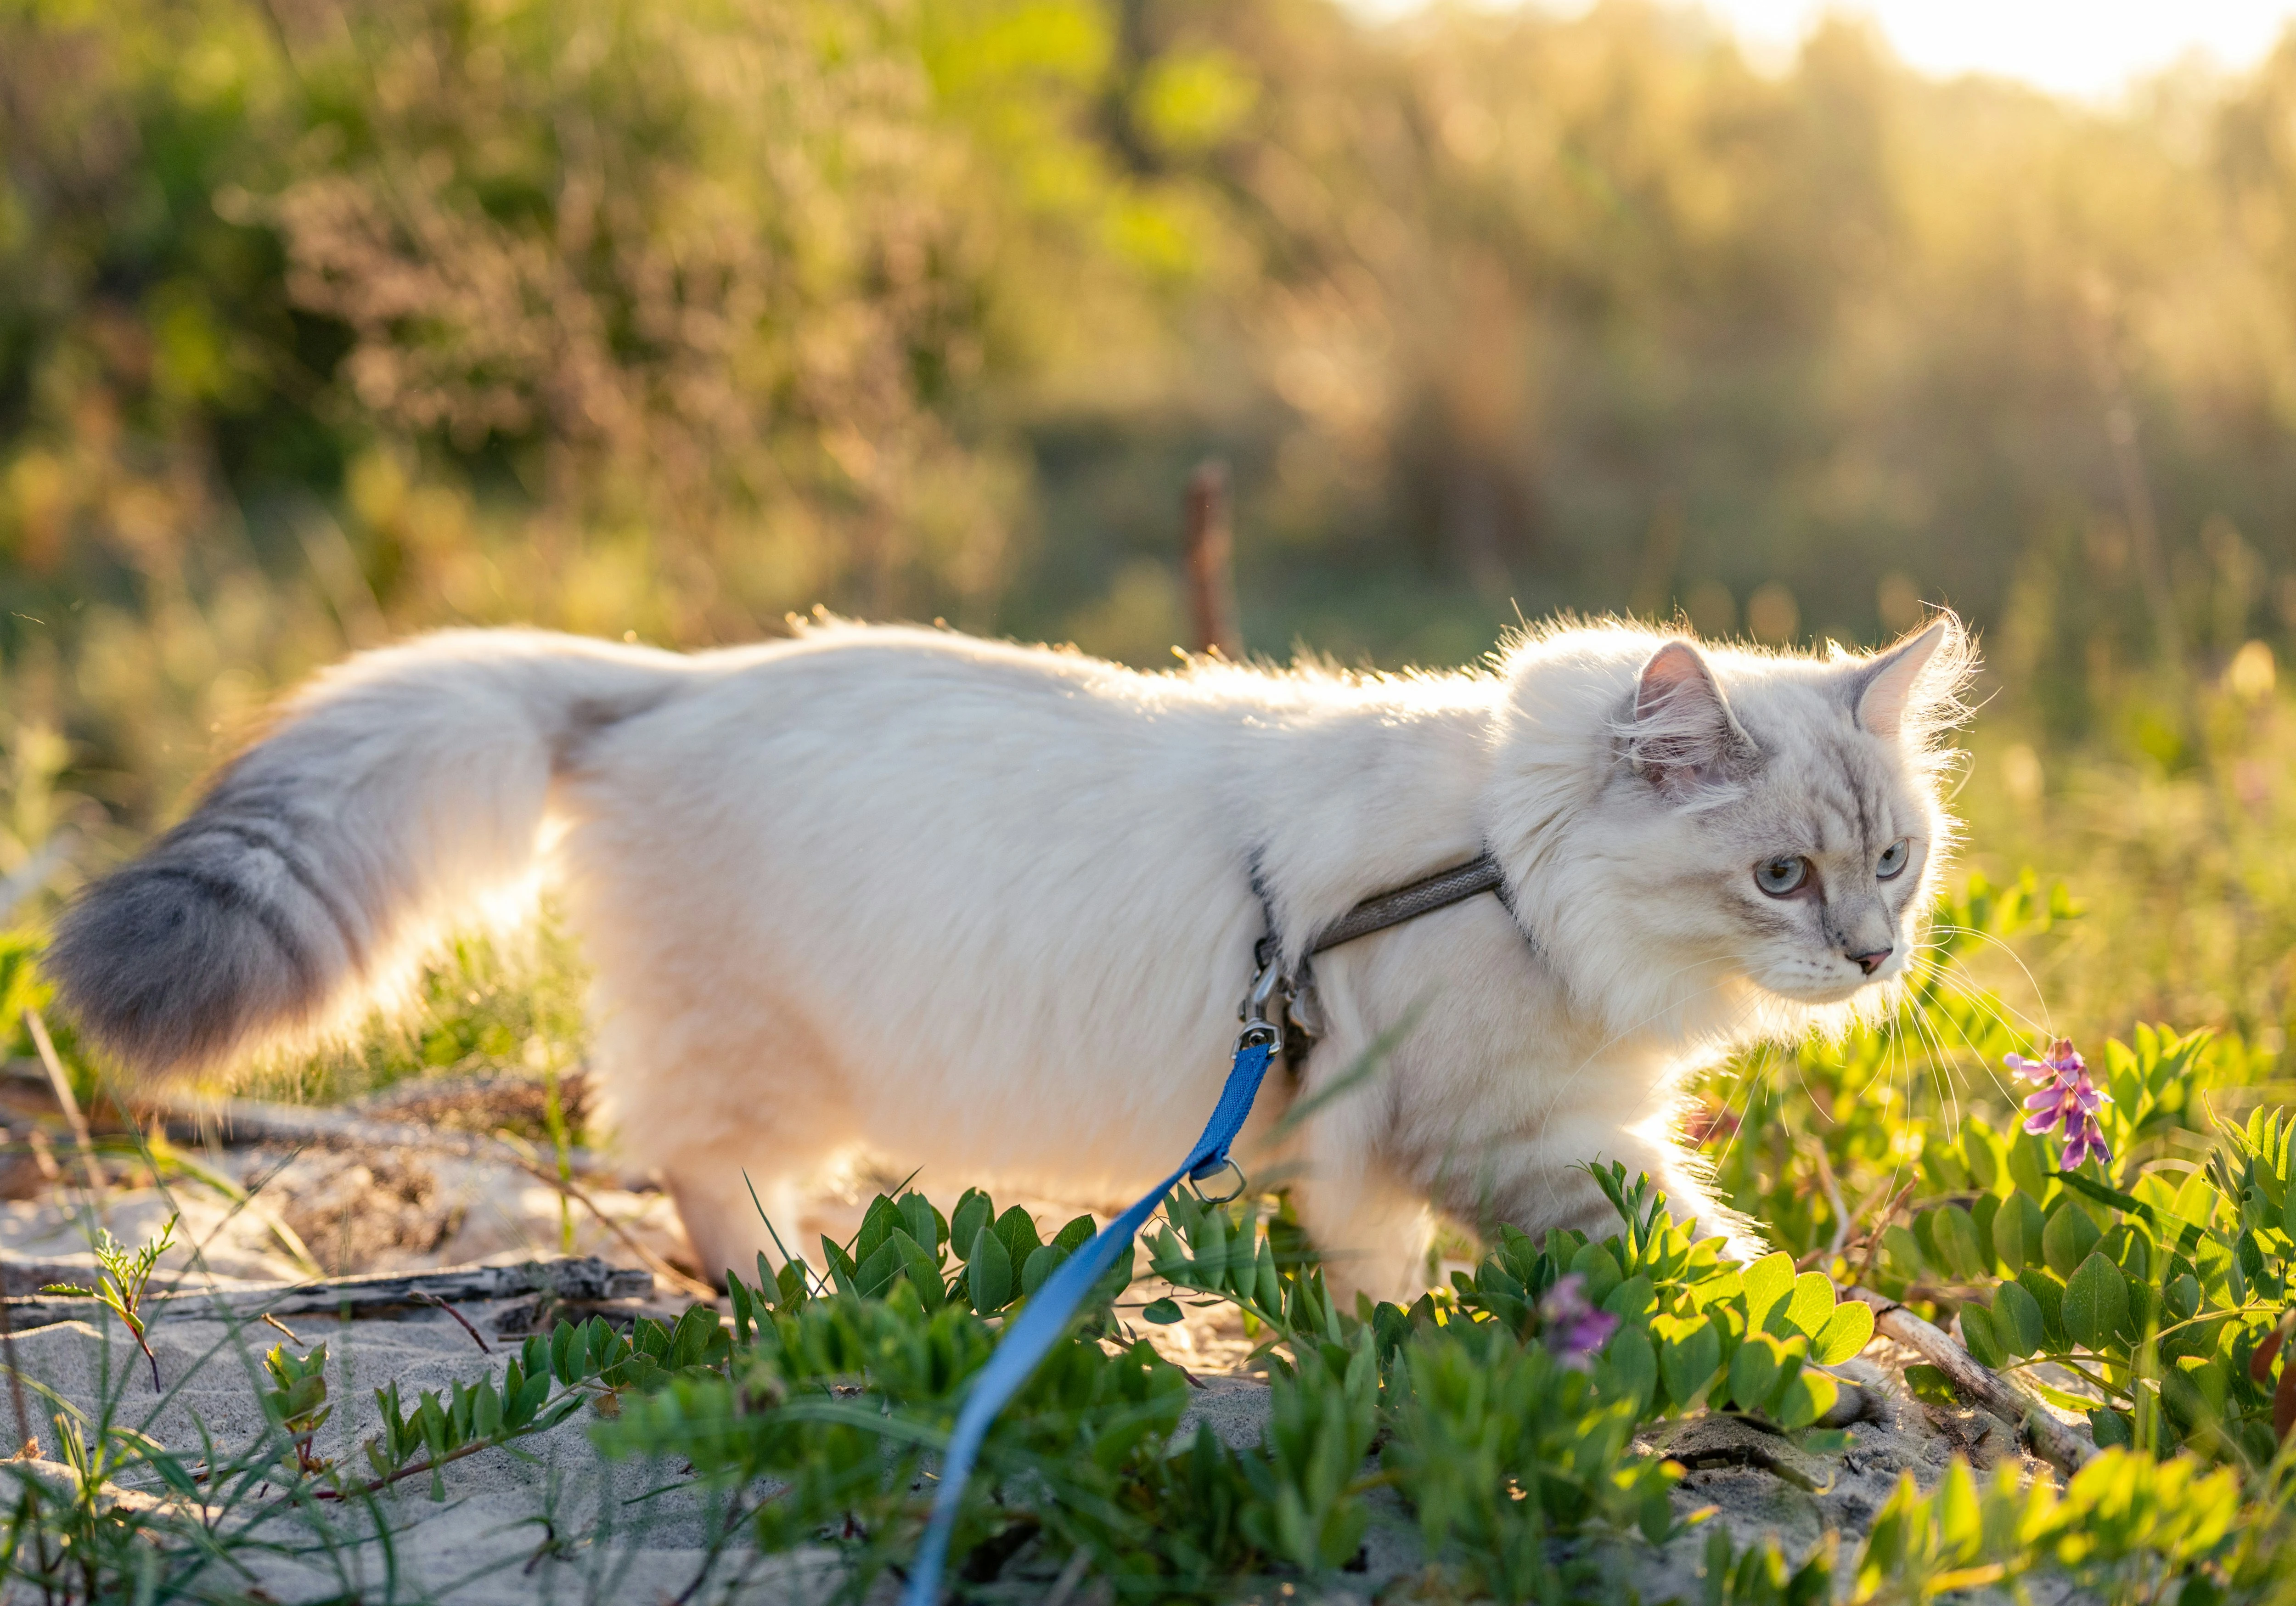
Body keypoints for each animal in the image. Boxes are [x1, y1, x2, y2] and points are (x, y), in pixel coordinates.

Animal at [45, 611, 1965, 1305]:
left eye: (1893, 861)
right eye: (1779, 875)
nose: (1873, 955)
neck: (1497, 859)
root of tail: (664, 679)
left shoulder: (1370, 1148)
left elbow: (1376, 1284)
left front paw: (1385, 1350)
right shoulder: (1530, 1134)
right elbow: (1713, 1261)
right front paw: (1835, 1352)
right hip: (761, 1053)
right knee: (700, 1170)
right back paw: (789, 1304)